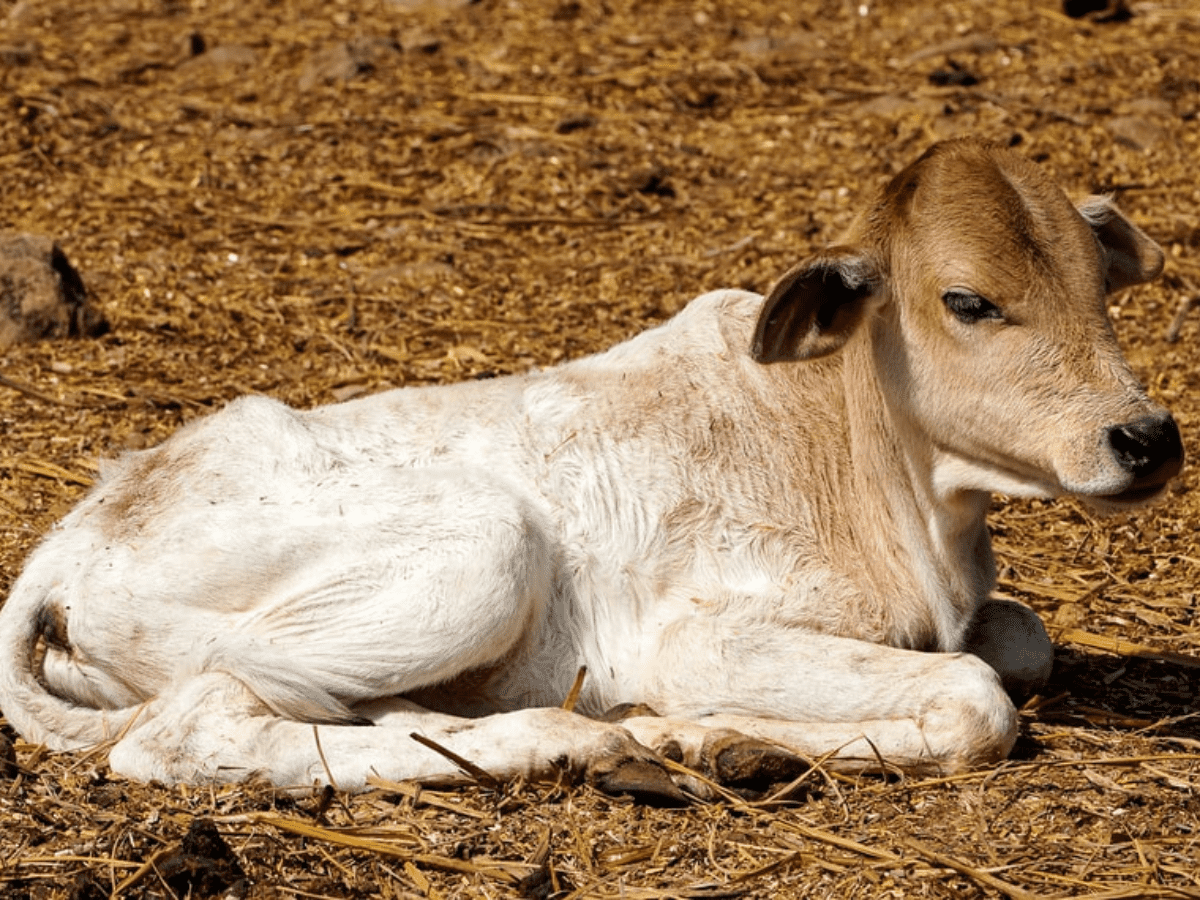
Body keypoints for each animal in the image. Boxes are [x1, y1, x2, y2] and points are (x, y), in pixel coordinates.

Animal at [0, 138, 1183, 800]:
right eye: (968, 300)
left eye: (1102, 284)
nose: (1148, 437)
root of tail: (76, 534)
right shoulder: (702, 631)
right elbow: (979, 698)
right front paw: (698, 731)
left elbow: (1019, 645)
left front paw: (707, 738)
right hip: (479, 550)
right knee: (194, 726)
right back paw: (573, 741)